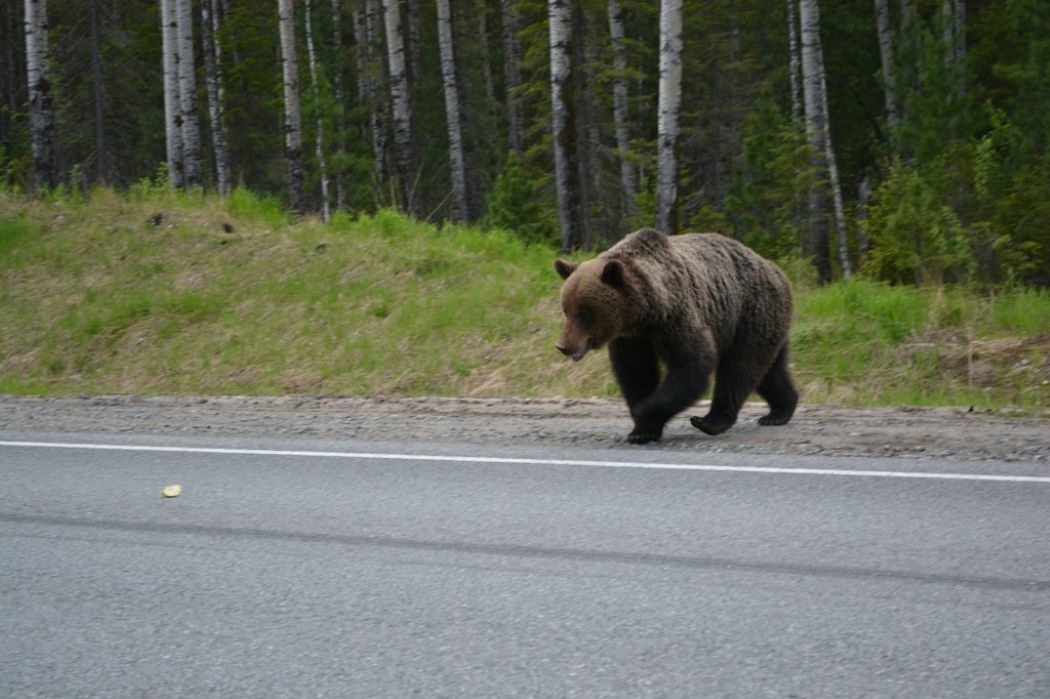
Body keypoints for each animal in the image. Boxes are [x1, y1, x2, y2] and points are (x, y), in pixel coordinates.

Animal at [554, 227, 798, 444]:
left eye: (584, 314)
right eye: (566, 309)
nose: (563, 346)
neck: (645, 312)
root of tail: (777, 271)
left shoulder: (676, 318)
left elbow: (691, 365)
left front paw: (644, 413)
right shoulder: (633, 337)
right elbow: (635, 372)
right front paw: (642, 430)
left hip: (750, 314)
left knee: (739, 368)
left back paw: (711, 420)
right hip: (766, 324)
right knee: (769, 370)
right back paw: (779, 411)